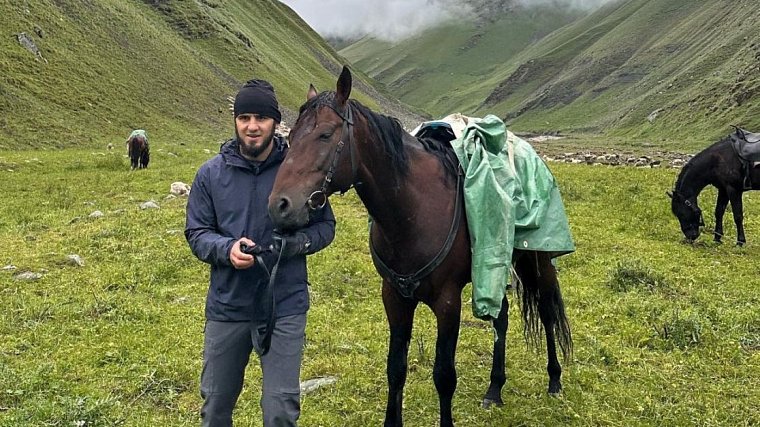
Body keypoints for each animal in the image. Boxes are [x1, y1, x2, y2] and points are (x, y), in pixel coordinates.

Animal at [268, 65, 568, 426]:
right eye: (291, 136)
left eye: (325, 134)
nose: (280, 206)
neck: (412, 210)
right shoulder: (394, 297)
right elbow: (395, 369)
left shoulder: (448, 301)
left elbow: (444, 375)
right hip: (491, 265)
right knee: (502, 316)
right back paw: (494, 389)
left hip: (535, 258)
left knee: (547, 310)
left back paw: (554, 380)